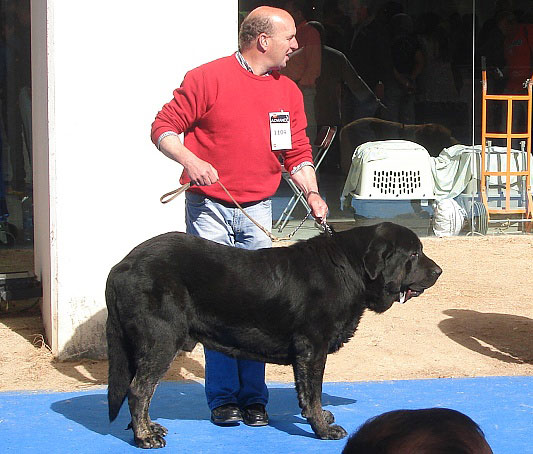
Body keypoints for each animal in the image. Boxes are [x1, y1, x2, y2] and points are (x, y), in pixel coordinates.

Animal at [105, 222, 440, 448]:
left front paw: (320, 417)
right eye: (414, 253)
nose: (438, 271)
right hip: (161, 340)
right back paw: (145, 436)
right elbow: (314, 392)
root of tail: (121, 265)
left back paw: (149, 427)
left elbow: (306, 394)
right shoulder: (312, 347)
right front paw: (323, 429)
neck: (350, 268)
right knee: (139, 390)